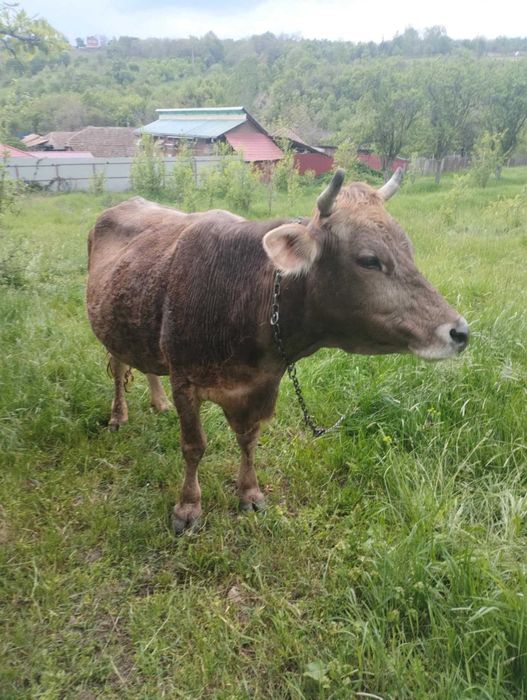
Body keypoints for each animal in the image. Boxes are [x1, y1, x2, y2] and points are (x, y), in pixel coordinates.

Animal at [87, 169, 469, 533]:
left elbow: (249, 440)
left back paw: (158, 401)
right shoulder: (185, 381)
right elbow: (194, 446)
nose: (459, 332)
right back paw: (118, 416)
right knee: (118, 370)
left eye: (409, 250)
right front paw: (188, 508)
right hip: (109, 328)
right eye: (369, 260)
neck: (241, 293)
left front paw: (250, 493)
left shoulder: (263, 384)